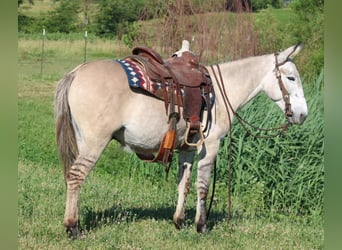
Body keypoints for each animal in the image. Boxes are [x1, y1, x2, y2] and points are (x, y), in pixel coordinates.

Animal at [55, 42, 308, 237]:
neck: (220, 92)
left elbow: (183, 184)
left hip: (83, 140)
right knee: (76, 176)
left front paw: (179, 221)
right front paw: (201, 226)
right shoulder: (210, 146)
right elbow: (203, 186)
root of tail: (77, 72)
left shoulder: (187, 148)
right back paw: (72, 227)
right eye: (291, 77)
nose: (303, 115)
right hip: (95, 142)